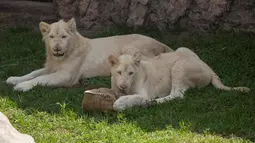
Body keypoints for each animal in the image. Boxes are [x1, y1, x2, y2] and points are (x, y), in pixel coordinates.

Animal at [6, 17, 173, 91]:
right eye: (52, 37)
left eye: (64, 37)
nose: (57, 48)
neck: (59, 58)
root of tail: (160, 42)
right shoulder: (50, 67)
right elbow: (33, 73)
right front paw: (14, 79)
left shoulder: (66, 76)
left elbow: (41, 79)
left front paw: (22, 86)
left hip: (130, 49)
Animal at [108, 47, 250, 111]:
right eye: (119, 72)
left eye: (131, 73)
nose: (123, 86)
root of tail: (211, 70)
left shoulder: (145, 94)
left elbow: (134, 97)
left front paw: (119, 104)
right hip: (183, 49)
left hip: (180, 66)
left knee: (177, 94)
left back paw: (151, 103)